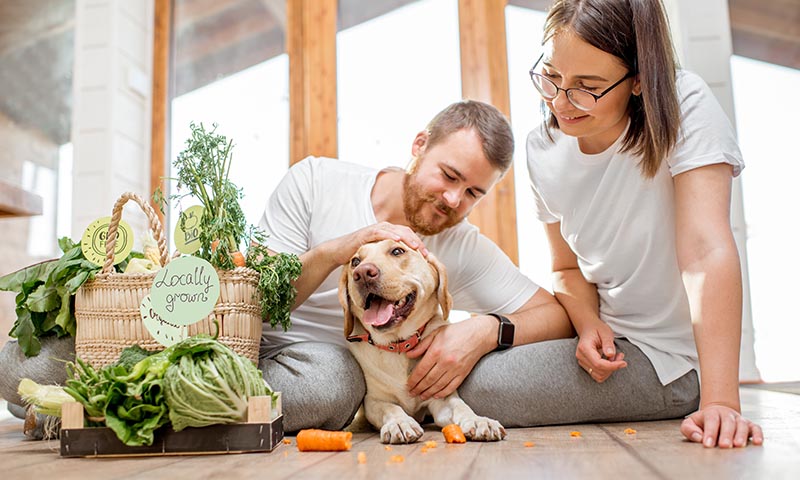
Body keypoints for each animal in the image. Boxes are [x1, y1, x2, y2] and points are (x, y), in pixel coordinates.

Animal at [340, 238, 506, 444]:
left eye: (397, 251)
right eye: (355, 262)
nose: (362, 273)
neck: (399, 345)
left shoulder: (441, 397)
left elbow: (460, 405)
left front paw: (478, 420)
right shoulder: (374, 400)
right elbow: (391, 408)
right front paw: (400, 423)